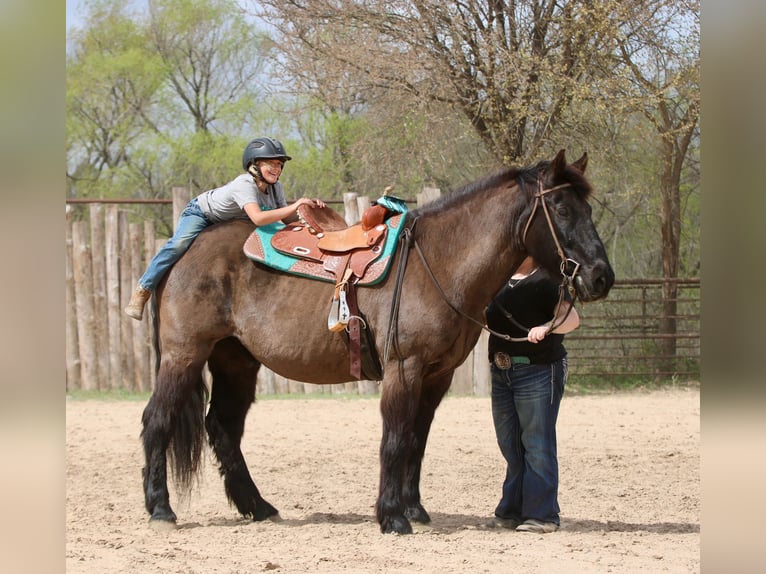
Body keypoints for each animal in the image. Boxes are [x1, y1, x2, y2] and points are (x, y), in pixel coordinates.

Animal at [140, 149, 614, 534]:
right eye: (560, 208)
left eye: (588, 208)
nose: (601, 277)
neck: (438, 262)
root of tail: (181, 250)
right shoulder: (404, 368)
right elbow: (396, 438)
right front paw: (392, 517)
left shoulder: (436, 376)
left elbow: (416, 440)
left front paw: (414, 509)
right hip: (185, 356)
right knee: (157, 421)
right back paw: (161, 510)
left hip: (236, 362)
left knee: (223, 429)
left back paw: (258, 507)